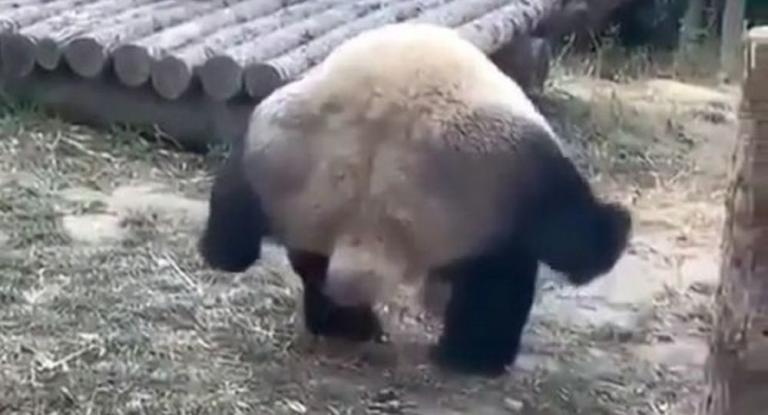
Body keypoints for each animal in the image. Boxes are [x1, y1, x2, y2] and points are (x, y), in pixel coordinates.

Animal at [198, 22, 632, 377]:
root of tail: (365, 218)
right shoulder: (519, 172)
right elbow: (571, 241)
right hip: (484, 181)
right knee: (503, 273)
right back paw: (476, 357)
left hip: (282, 156)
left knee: (253, 235)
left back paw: (347, 325)